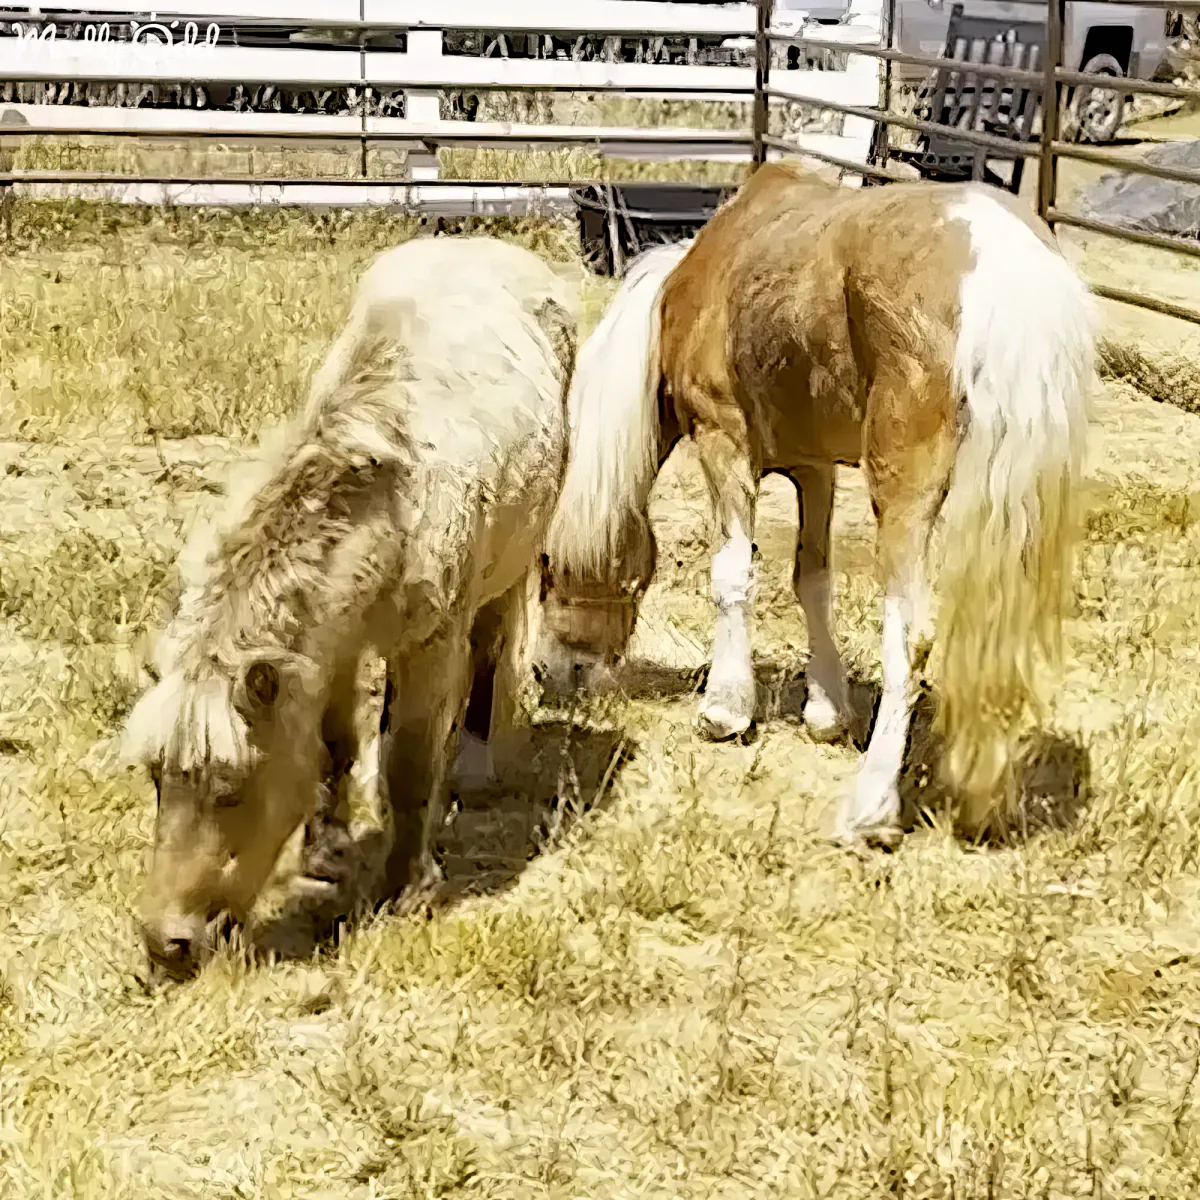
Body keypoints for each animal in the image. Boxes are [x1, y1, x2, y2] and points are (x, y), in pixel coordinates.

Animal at [123, 235, 578, 977]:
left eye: (232, 788)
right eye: (157, 779)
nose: (166, 945)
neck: (393, 503)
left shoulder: (427, 646)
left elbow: (408, 761)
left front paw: (403, 889)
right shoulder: (327, 649)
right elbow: (334, 744)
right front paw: (327, 853)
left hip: (510, 562)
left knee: (488, 650)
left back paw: (475, 767)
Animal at [536, 162, 1097, 846]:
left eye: (544, 568)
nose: (552, 676)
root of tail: (1003, 266)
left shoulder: (723, 440)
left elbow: (732, 576)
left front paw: (726, 708)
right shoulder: (815, 469)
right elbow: (812, 578)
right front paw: (826, 708)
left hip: (903, 488)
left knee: (910, 636)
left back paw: (872, 808)